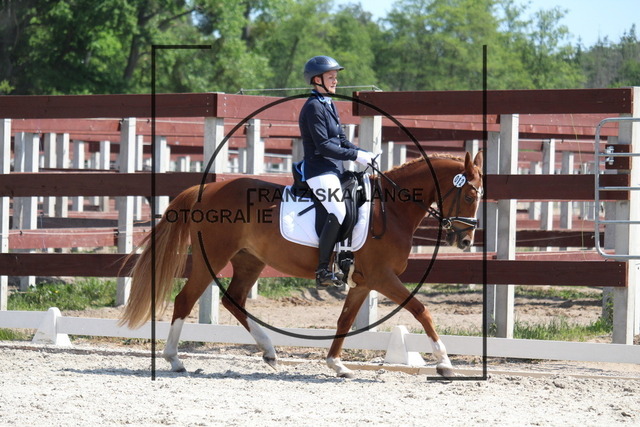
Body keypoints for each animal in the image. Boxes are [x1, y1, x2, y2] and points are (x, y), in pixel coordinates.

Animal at [119, 151, 484, 378]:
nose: (466, 241)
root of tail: (205, 190)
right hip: (215, 258)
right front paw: (445, 363)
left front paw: (336, 364)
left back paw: (269, 351)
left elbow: (344, 320)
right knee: (186, 299)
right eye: (469, 196)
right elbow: (422, 310)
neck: (391, 211)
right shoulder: (382, 277)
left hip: (249, 261)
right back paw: (174, 360)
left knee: (233, 300)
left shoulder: (364, 282)